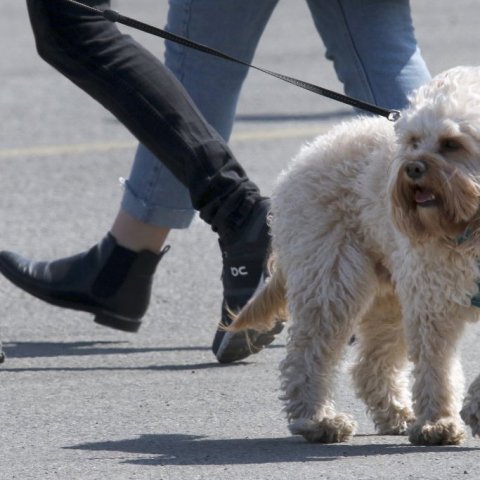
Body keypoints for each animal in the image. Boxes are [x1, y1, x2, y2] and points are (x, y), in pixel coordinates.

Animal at [232, 67, 480, 446]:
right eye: (413, 141)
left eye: (452, 144)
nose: (411, 168)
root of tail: (303, 158)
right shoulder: (432, 305)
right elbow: (436, 366)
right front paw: (438, 423)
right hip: (331, 281)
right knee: (308, 356)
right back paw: (317, 421)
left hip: (390, 296)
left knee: (369, 365)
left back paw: (396, 414)